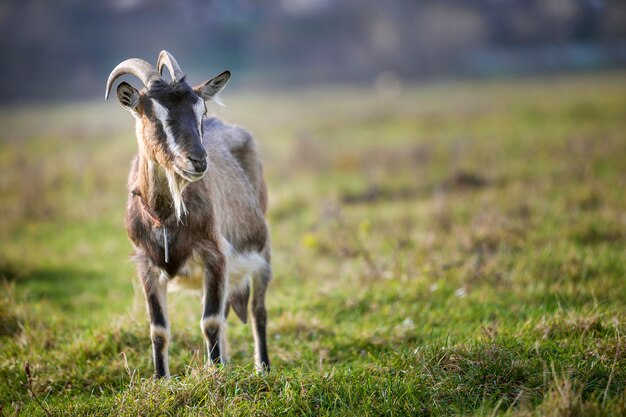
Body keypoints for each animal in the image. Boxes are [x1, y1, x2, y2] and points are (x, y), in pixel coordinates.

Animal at [105, 50, 270, 376]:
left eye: (200, 111)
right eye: (152, 113)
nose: (197, 160)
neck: (166, 216)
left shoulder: (215, 255)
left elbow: (210, 321)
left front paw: (215, 375)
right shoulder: (146, 264)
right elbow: (158, 329)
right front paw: (161, 379)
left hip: (261, 251)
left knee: (257, 310)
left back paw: (262, 368)